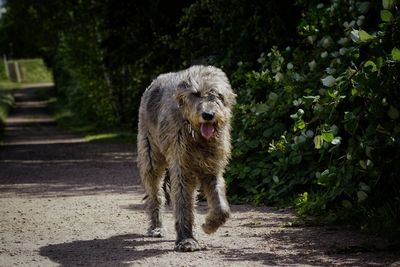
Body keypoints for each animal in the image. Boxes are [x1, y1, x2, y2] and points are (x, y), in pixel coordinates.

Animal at [138, 65, 236, 253]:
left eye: (217, 95)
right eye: (196, 94)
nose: (208, 115)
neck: (197, 136)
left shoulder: (212, 167)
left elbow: (221, 205)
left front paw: (210, 225)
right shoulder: (181, 165)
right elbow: (183, 201)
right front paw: (186, 240)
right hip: (150, 154)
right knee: (155, 193)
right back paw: (156, 227)